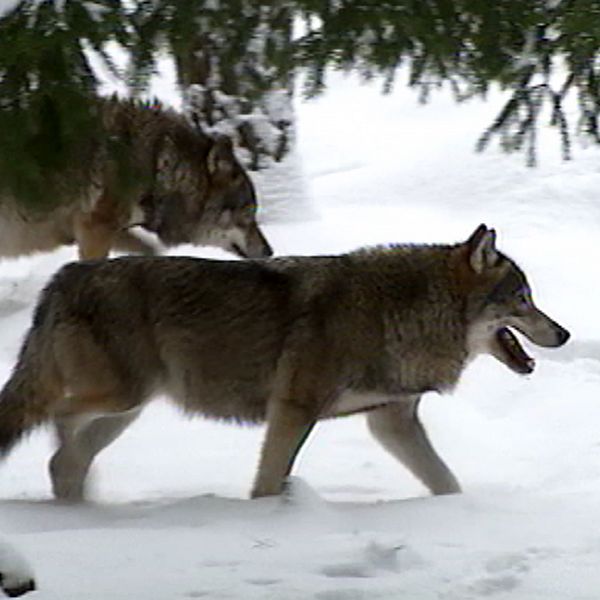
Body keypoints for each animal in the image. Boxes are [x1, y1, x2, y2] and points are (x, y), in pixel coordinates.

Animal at [0, 96, 274, 260]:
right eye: (248, 213)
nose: (269, 251)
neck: (156, 164)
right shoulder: (94, 228)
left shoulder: (111, 231)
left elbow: (152, 250)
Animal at [0, 223, 568, 500]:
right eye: (523, 299)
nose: (563, 333)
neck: (399, 312)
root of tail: (63, 278)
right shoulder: (293, 409)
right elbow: (268, 481)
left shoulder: (391, 422)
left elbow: (446, 481)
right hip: (124, 399)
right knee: (59, 425)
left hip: (127, 410)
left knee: (65, 457)